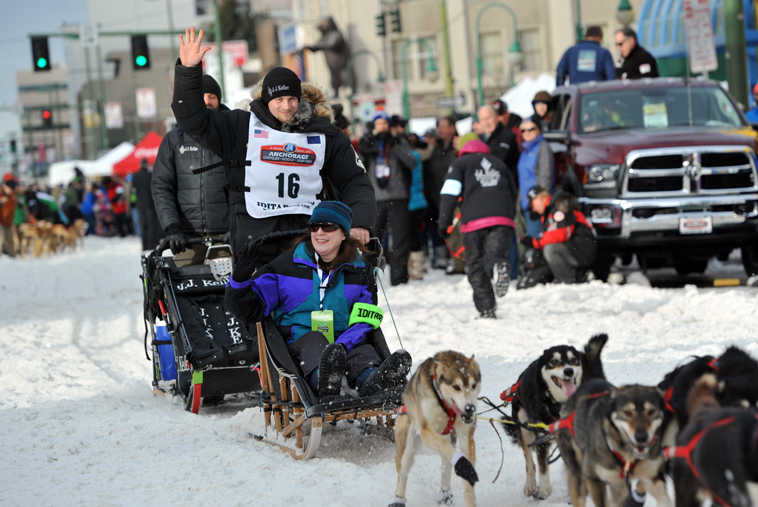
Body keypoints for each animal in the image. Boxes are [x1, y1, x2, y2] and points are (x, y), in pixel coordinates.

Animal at [392, 354, 480, 507]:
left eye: (473, 385)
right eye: (456, 387)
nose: (470, 408)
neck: (446, 407)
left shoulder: (465, 436)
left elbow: (467, 478)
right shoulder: (426, 430)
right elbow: (453, 454)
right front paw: (462, 464)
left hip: (449, 438)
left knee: (446, 462)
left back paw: (445, 495)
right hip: (408, 446)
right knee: (403, 470)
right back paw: (398, 499)